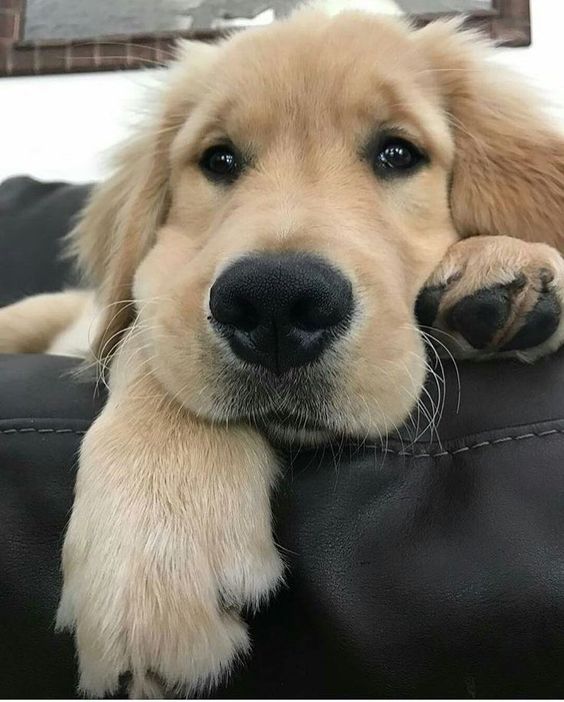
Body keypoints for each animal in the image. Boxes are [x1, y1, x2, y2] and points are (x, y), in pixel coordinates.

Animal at [1, 2, 564, 700]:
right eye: (219, 160)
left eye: (398, 153)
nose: (274, 304)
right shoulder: (158, 281)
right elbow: (151, 333)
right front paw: (154, 550)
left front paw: (501, 265)